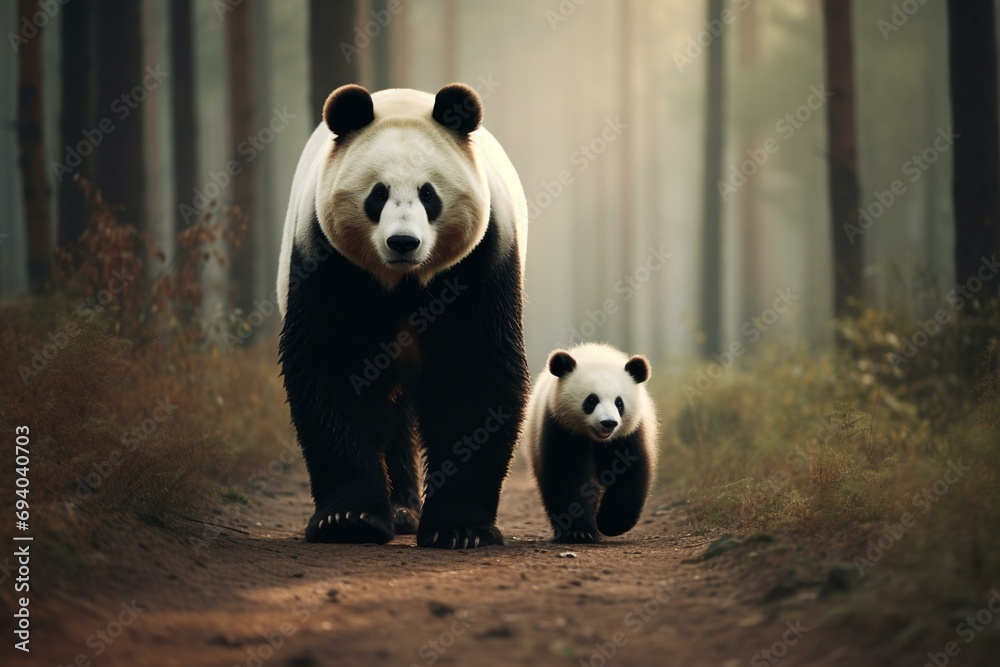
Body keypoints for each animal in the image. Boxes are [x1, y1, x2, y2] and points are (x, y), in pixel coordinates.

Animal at [277, 84, 529, 549]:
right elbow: (333, 364)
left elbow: (475, 368)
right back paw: (399, 509)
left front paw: (459, 528)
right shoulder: (329, 259)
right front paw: (348, 519)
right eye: (377, 194)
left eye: (429, 194)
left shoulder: (479, 261)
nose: (403, 242)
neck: (403, 280)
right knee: (391, 413)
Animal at [522, 343, 658, 543]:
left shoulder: (629, 434)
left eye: (619, 402)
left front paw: (610, 523)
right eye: (591, 400)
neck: (599, 440)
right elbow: (567, 475)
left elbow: (630, 473)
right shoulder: (560, 428)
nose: (608, 423)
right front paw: (579, 532)